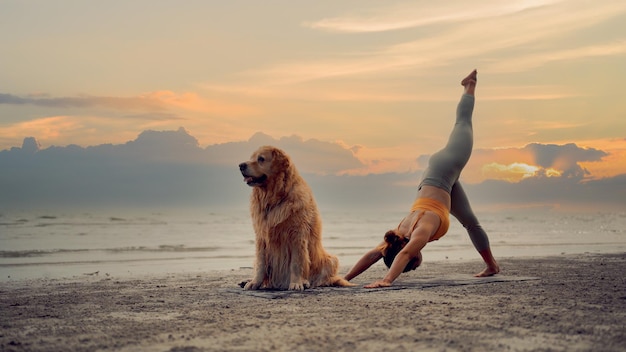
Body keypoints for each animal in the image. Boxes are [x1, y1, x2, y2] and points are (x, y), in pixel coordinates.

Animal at [238, 146, 354, 292]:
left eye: (261, 159)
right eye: (251, 158)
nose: (241, 165)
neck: (274, 199)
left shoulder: (297, 235)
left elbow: (296, 263)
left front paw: (296, 283)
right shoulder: (261, 236)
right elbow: (260, 264)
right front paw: (254, 282)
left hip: (331, 260)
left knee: (320, 279)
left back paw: (306, 282)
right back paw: (247, 280)